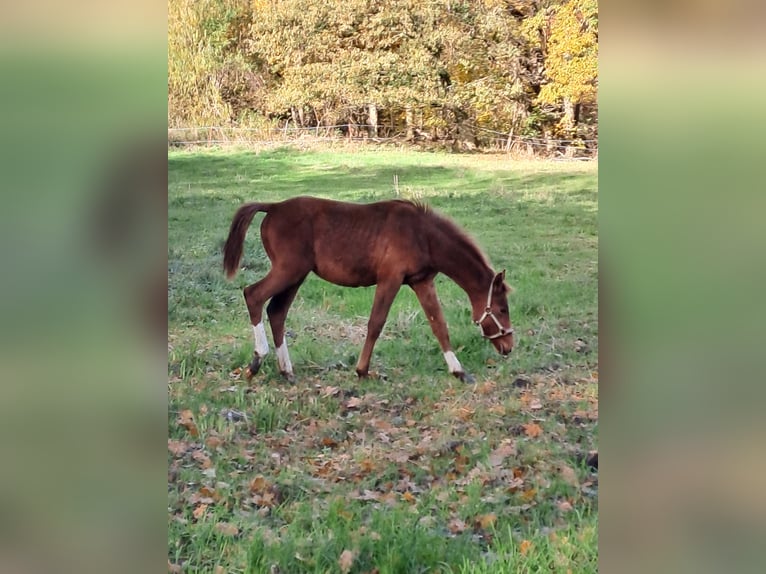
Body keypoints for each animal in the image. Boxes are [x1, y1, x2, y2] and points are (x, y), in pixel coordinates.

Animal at [222, 197, 516, 382]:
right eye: (502, 309)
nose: (509, 347)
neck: (423, 235)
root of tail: (272, 207)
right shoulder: (390, 279)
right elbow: (376, 323)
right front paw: (362, 370)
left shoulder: (422, 282)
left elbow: (438, 324)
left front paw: (459, 371)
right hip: (288, 270)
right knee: (253, 295)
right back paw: (257, 361)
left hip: (296, 276)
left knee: (277, 312)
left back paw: (287, 371)